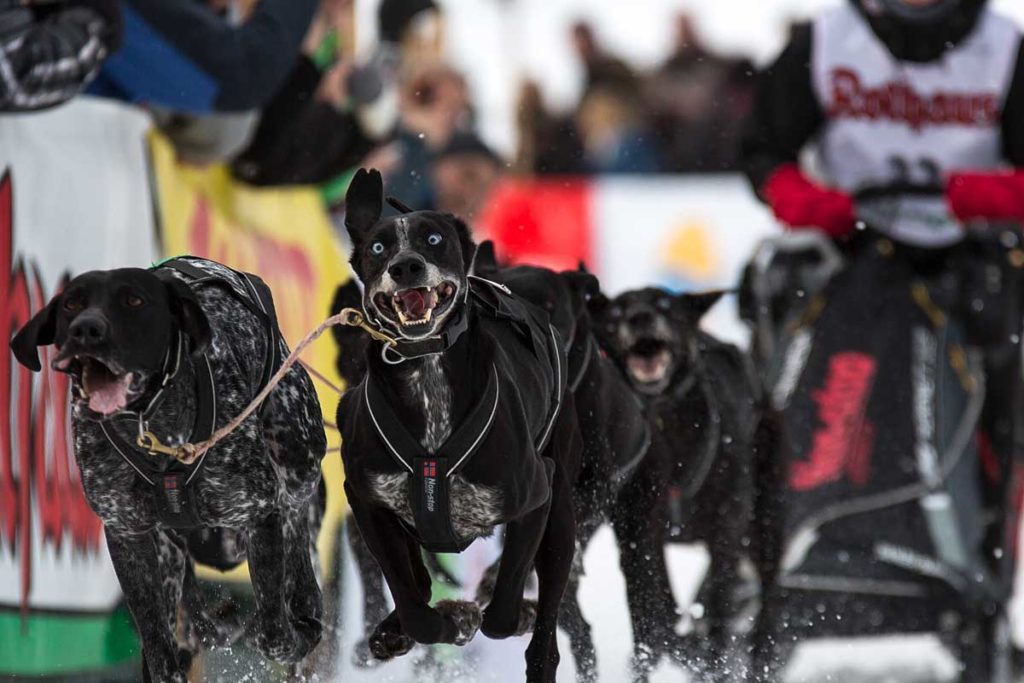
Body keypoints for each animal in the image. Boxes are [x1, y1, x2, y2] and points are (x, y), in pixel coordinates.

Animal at [9, 258, 323, 683]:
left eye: (134, 300)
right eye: (72, 303)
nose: (86, 330)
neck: (152, 429)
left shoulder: (259, 513)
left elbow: (273, 631)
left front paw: (296, 630)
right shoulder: (128, 536)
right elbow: (159, 650)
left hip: (296, 453)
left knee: (296, 527)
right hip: (170, 555)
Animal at [333, 166, 581, 683]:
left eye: (433, 239)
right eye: (378, 247)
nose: (406, 266)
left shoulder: (535, 501)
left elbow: (503, 610)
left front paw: (501, 614)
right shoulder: (368, 504)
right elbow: (415, 605)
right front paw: (444, 621)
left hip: (561, 513)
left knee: (545, 621)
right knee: (420, 583)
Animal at [593, 286, 761, 679]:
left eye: (665, 304)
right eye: (617, 311)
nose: (640, 317)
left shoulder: (727, 528)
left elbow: (719, 596)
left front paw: (711, 659)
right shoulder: (639, 530)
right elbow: (649, 600)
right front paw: (656, 652)